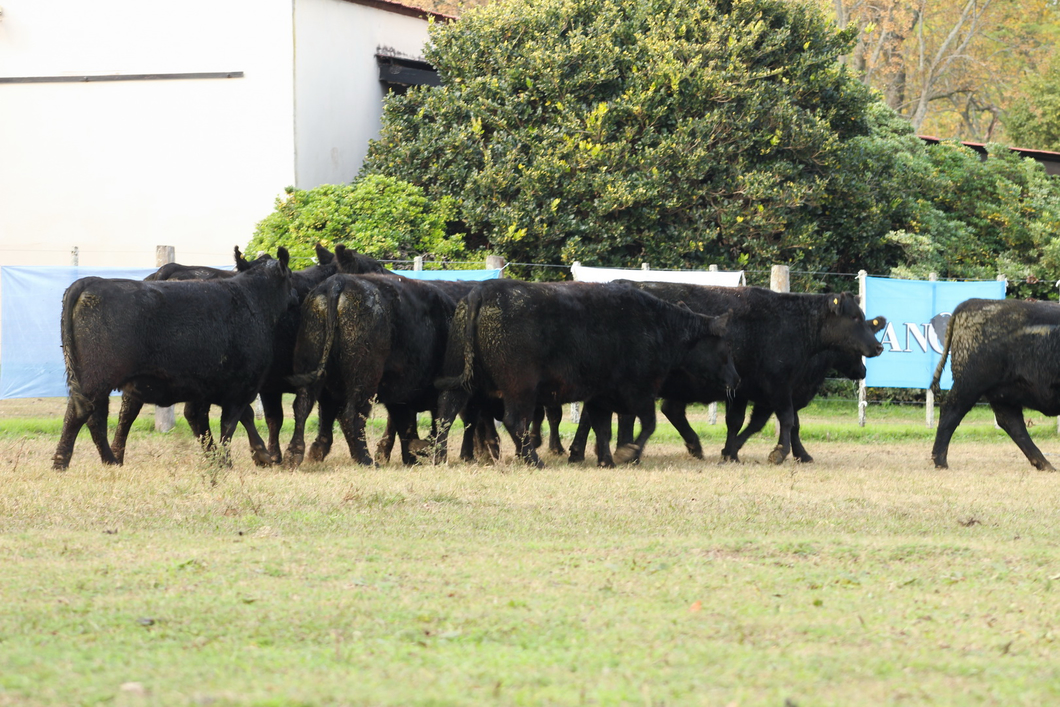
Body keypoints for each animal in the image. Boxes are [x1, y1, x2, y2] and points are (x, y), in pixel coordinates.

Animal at [53, 249, 294, 470]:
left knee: (101, 416)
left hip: (98, 381)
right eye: (290, 275)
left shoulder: (209, 388)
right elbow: (230, 424)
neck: (250, 299)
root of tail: (91, 281)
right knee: (81, 414)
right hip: (97, 377)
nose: (296, 294)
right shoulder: (241, 386)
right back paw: (63, 463)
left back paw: (110, 461)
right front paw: (233, 461)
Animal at [430, 279, 737, 466]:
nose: (736, 378)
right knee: (514, 421)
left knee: (447, 412)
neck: (659, 327)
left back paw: (438, 456)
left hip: (461, 377)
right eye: (724, 348)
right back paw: (534, 460)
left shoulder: (600, 394)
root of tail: (482, 290)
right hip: (521, 386)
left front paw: (606, 460)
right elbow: (647, 424)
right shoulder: (639, 391)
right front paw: (627, 453)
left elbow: (601, 426)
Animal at [619, 281, 886, 464]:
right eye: (854, 317)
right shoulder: (777, 386)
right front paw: (780, 453)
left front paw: (731, 452)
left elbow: (744, 422)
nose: (878, 347)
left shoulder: (752, 392)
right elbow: (787, 420)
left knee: (666, 411)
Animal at [932, 298, 1060, 470]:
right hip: (970, 384)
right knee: (951, 411)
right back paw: (940, 462)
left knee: (1012, 423)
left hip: (1002, 393)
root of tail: (972, 303)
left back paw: (1044, 464)